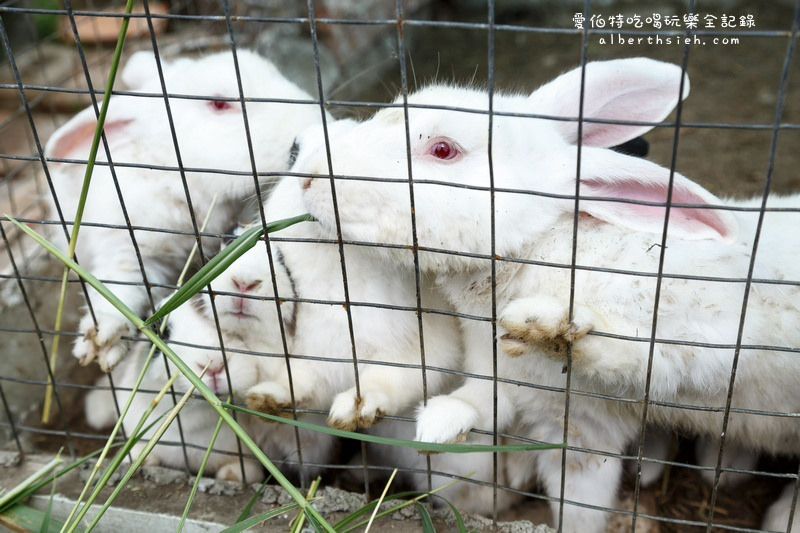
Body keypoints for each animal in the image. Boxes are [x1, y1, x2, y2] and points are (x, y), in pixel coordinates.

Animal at [294, 56, 776, 528]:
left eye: (443, 149)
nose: (309, 176)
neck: (535, 251)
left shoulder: (610, 405)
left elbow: (584, 497)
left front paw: (552, 324)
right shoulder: (504, 383)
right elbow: (474, 405)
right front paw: (429, 424)